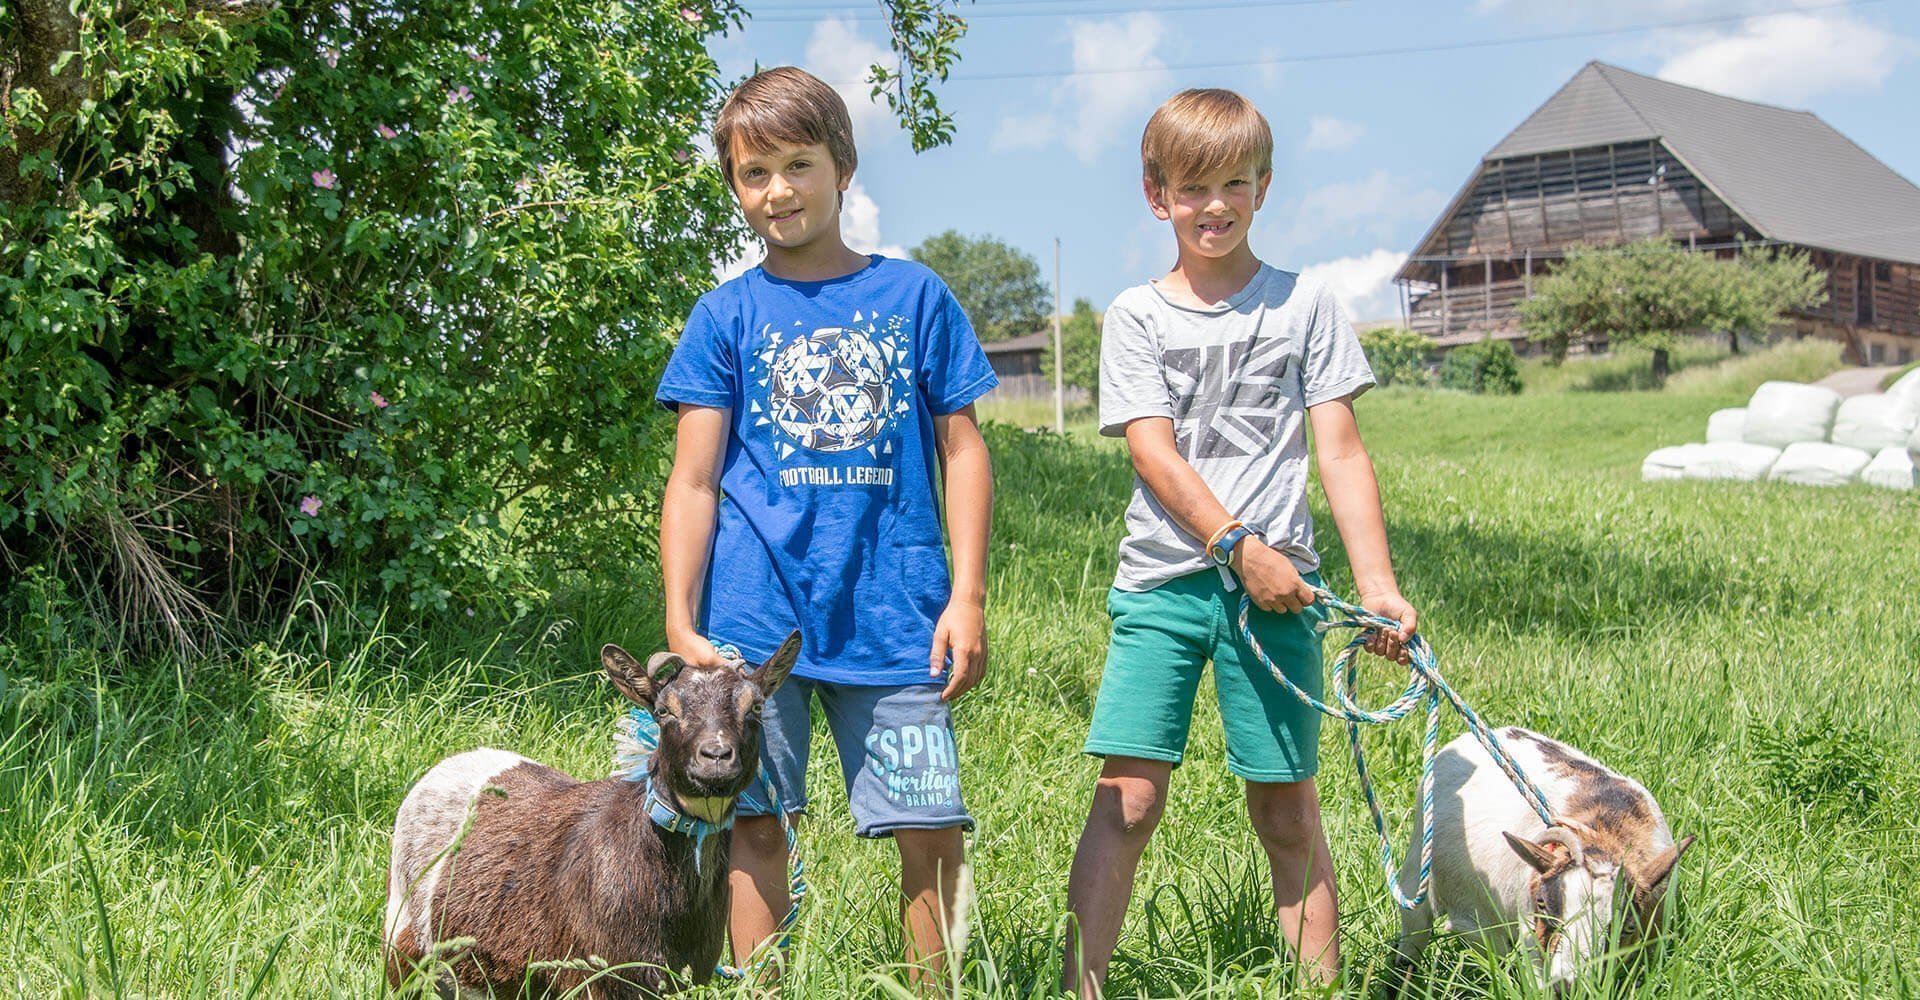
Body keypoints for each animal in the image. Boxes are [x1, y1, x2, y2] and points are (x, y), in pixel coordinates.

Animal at [1397, 725, 1697, 990]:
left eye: (1628, 927)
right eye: (1542, 904)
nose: (1566, 985)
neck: (1607, 834)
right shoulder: (1532, 935)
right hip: (1418, 867)